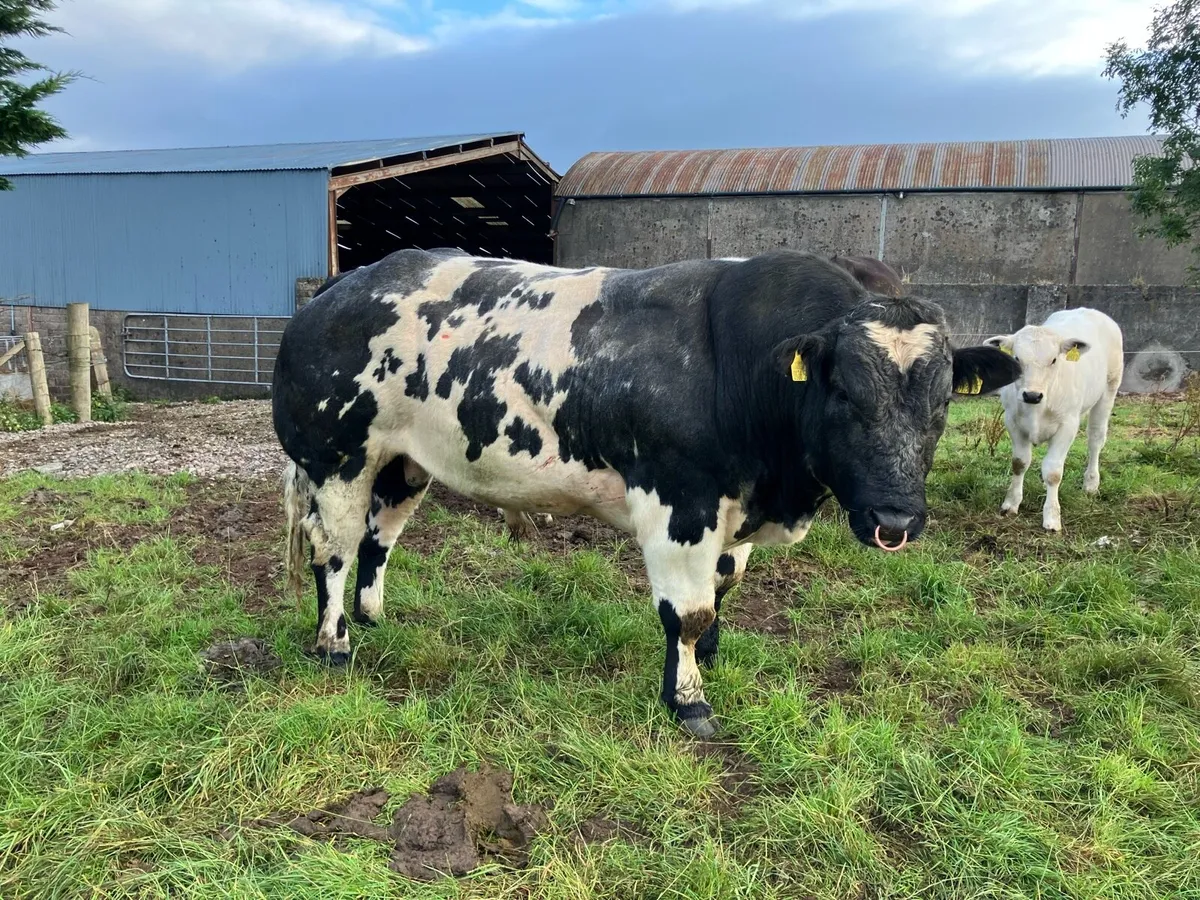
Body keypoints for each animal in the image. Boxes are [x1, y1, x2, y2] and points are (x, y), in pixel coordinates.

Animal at [272, 248, 1019, 738]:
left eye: (942, 401)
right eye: (843, 394)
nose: (896, 517)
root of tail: (343, 282)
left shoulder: (734, 513)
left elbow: (722, 590)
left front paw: (711, 656)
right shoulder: (678, 504)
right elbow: (685, 611)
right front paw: (688, 699)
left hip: (404, 461)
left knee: (379, 539)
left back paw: (372, 615)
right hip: (338, 458)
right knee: (333, 548)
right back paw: (334, 642)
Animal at [984, 308, 1124, 532]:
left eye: (1054, 360)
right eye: (1016, 359)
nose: (1032, 395)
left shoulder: (1067, 425)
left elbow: (1053, 472)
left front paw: (1051, 517)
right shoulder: (1012, 421)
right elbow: (1019, 463)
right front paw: (1011, 504)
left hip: (1109, 389)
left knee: (1095, 440)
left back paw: (1091, 484)